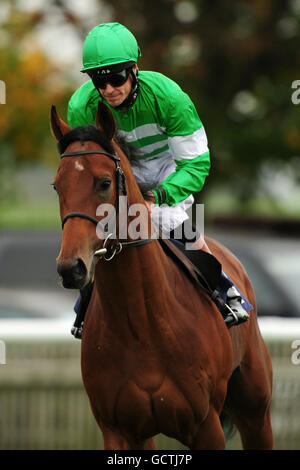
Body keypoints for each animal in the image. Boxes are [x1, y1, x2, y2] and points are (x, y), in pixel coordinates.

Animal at [50, 101, 274, 450]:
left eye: (104, 182)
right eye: (56, 184)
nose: (71, 268)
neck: (142, 325)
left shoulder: (206, 426)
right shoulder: (118, 429)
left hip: (255, 409)